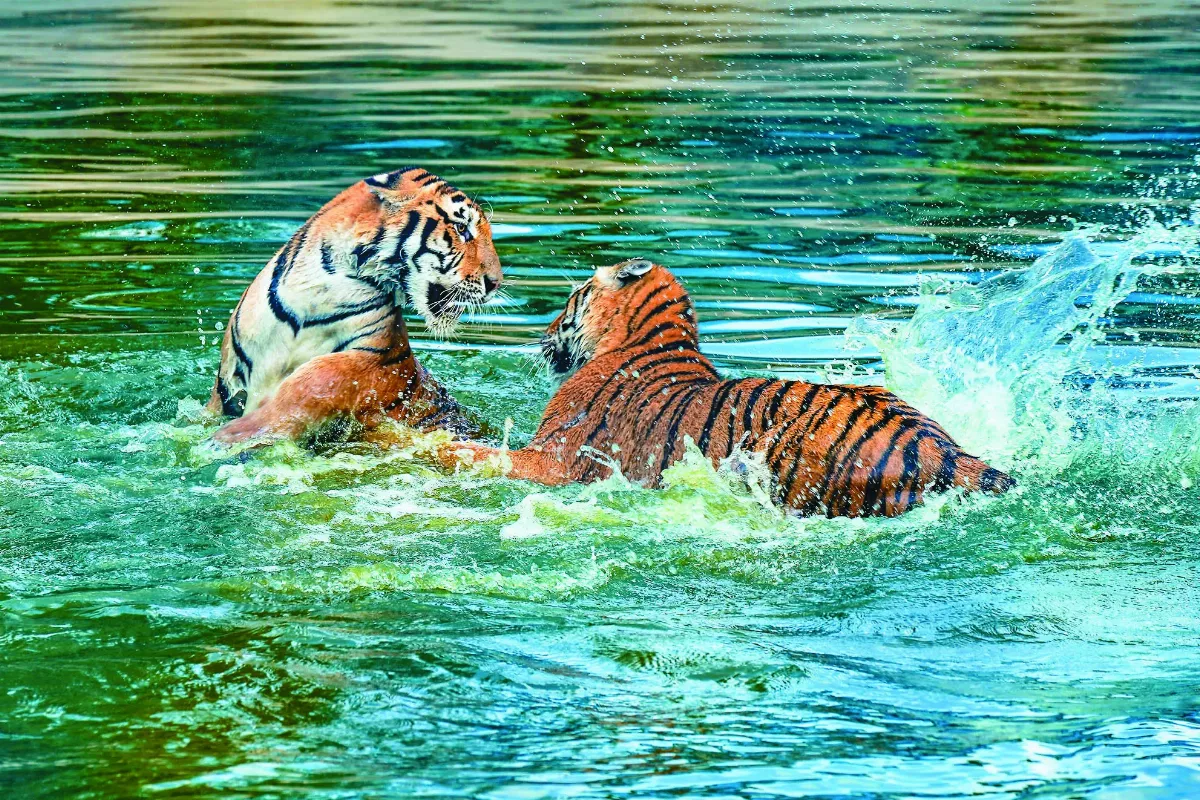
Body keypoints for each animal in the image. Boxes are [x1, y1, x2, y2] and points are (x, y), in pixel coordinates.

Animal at [208, 166, 501, 444]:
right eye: (462, 229)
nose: (496, 282)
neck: (318, 289)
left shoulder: (378, 359)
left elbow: (319, 378)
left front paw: (235, 434)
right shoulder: (227, 382)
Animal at [438, 258, 1015, 518]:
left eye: (572, 296)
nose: (543, 333)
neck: (650, 337)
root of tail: (941, 449)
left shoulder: (553, 460)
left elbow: (477, 454)